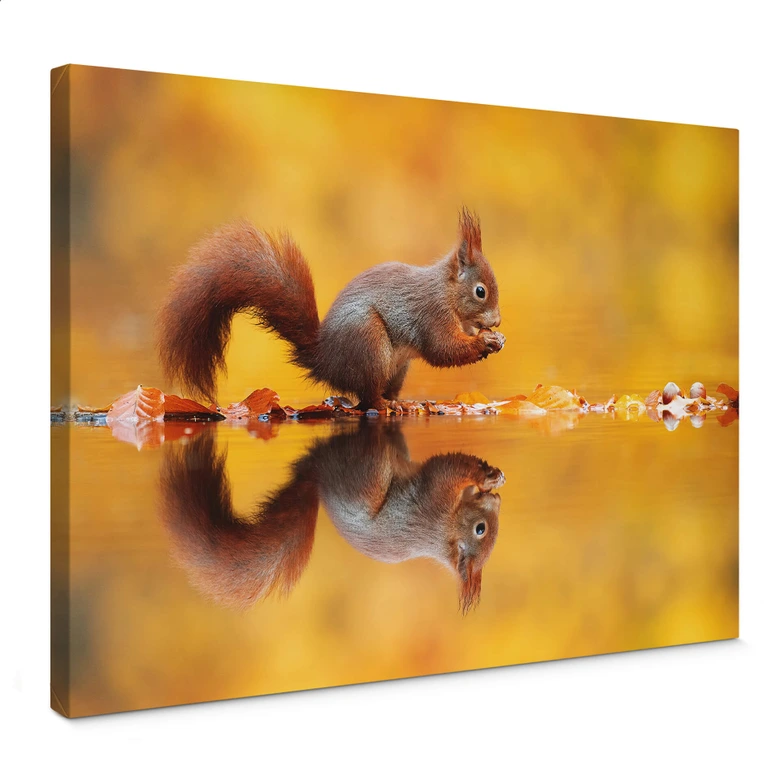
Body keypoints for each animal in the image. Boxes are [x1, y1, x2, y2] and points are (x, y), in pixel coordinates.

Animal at [157, 208, 505, 409]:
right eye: (481, 291)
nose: (498, 322)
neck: (446, 291)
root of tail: (325, 359)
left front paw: (493, 338)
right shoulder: (432, 313)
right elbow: (442, 349)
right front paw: (484, 341)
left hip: (397, 367)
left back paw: (405, 403)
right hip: (369, 343)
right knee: (367, 397)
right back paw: (387, 405)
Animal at [160, 421, 505, 613]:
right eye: (481, 529)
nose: (498, 502)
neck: (444, 534)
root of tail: (318, 476)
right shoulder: (436, 498)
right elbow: (451, 466)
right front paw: (484, 475)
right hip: (369, 477)